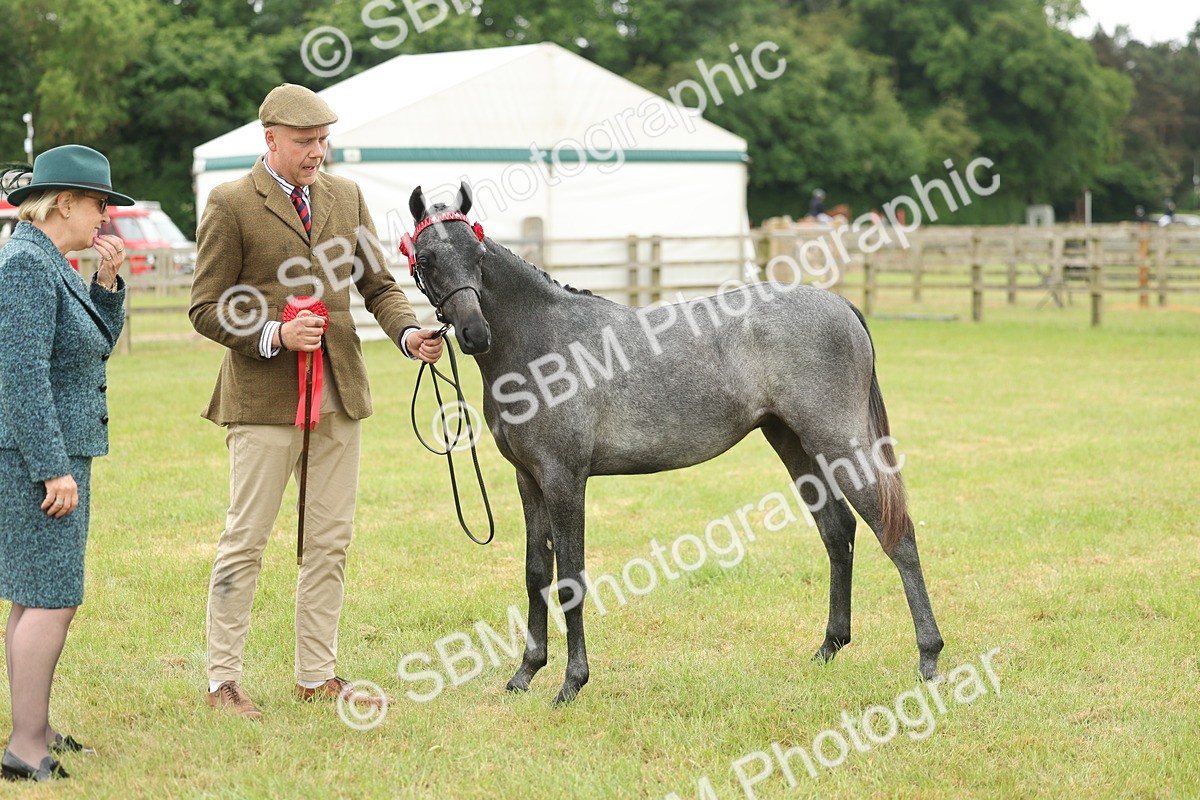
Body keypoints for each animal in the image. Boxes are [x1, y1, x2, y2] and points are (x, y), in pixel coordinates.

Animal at [401, 183, 943, 704]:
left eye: (478, 255)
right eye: (425, 258)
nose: (474, 333)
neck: (543, 342)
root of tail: (841, 305)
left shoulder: (564, 480)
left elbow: (571, 579)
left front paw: (572, 682)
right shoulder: (529, 480)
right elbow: (537, 574)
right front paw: (525, 673)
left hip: (838, 442)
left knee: (896, 533)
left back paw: (929, 658)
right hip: (794, 443)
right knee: (838, 531)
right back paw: (830, 646)